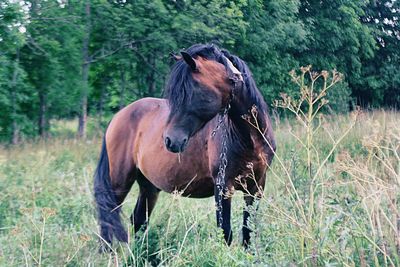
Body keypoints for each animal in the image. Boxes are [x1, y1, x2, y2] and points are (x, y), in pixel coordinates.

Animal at [94, 43, 276, 250]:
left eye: (192, 91)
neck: (249, 138)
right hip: (119, 182)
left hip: (148, 186)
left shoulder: (256, 187)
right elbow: (225, 232)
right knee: (108, 219)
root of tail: (118, 116)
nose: (170, 140)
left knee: (138, 220)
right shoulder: (223, 186)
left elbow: (247, 232)